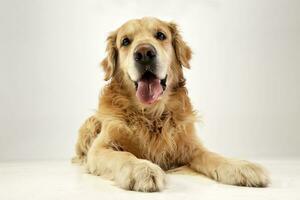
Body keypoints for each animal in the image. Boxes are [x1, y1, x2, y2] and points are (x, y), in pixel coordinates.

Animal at [72, 17, 270, 192]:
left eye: (160, 35)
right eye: (125, 41)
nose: (144, 53)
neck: (151, 114)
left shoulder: (190, 146)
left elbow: (212, 155)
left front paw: (241, 166)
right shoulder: (100, 148)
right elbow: (124, 155)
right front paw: (142, 169)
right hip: (90, 125)